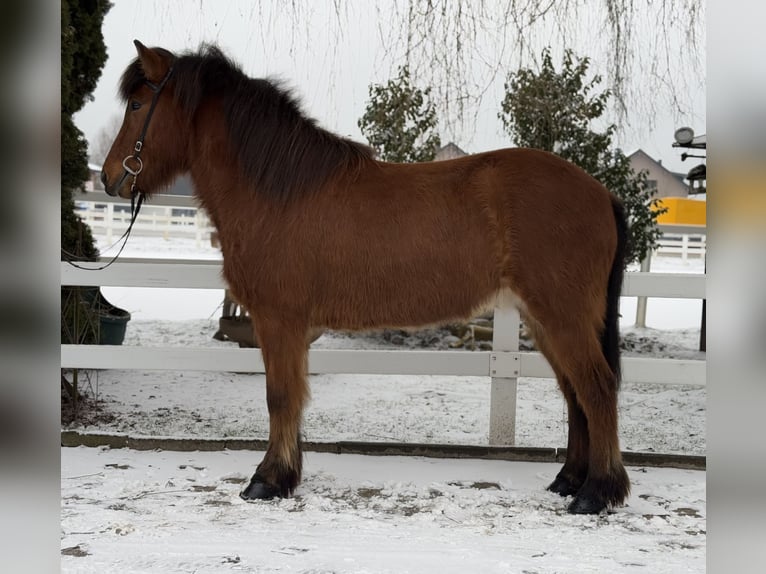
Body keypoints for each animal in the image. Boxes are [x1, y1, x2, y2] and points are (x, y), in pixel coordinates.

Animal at [102, 41, 632, 516]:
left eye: (137, 103)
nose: (109, 178)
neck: (279, 191)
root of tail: (601, 193)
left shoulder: (278, 321)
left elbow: (279, 397)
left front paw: (267, 481)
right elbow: (294, 398)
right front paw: (287, 474)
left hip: (562, 317)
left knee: (596, 388)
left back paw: (596, 493)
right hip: (545, 321)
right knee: (575, 394)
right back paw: (569, 480)